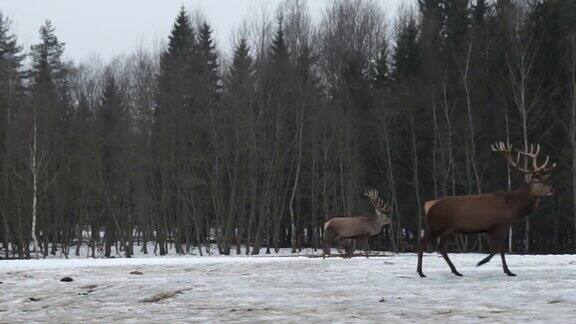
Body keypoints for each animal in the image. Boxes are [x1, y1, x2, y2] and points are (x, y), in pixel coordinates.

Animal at [416, 143, 556, 278]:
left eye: (544, 178)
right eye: (536, 181)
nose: (551, 189)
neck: (513, 206)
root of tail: (429, 206)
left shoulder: (489, 229)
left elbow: (497, 248)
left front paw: (500, 268)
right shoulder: (500, 225)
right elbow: (499, 248)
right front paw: (495, 267)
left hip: (447, 229)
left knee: (441, 247)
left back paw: (455, 271)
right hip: (436, 225)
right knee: (423, 242)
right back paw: (421, 272)